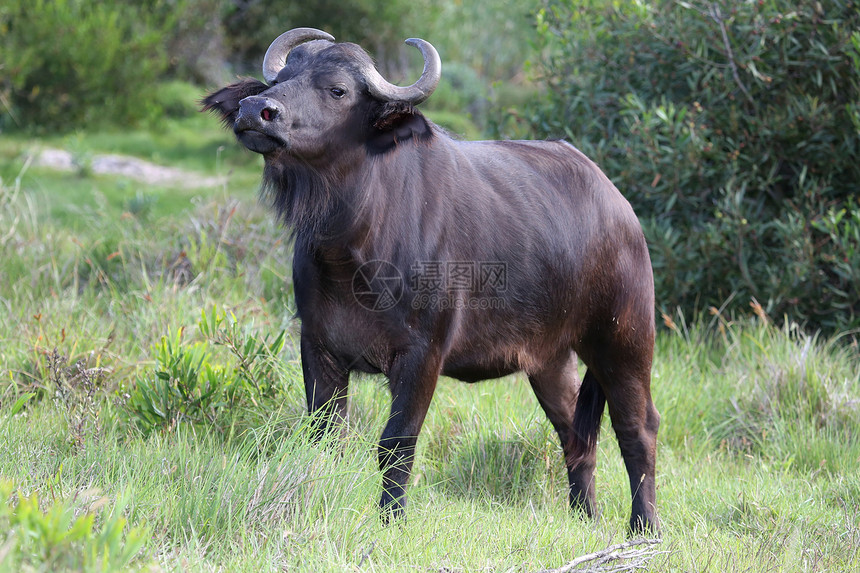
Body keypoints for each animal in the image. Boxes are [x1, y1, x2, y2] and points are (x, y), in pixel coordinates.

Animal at [205, 26, 660, 536]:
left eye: (337, 90)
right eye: (281, 78)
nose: (255, 111)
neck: (352, 248)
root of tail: (621, 209)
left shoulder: (422, 355)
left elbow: (396, 443)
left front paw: (391, 518)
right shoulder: (318, 347)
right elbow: (324, 437)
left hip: (624, 340)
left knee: (638, 427)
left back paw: (644, 527)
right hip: (550, 359)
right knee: (574, 434)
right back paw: (584, 515)